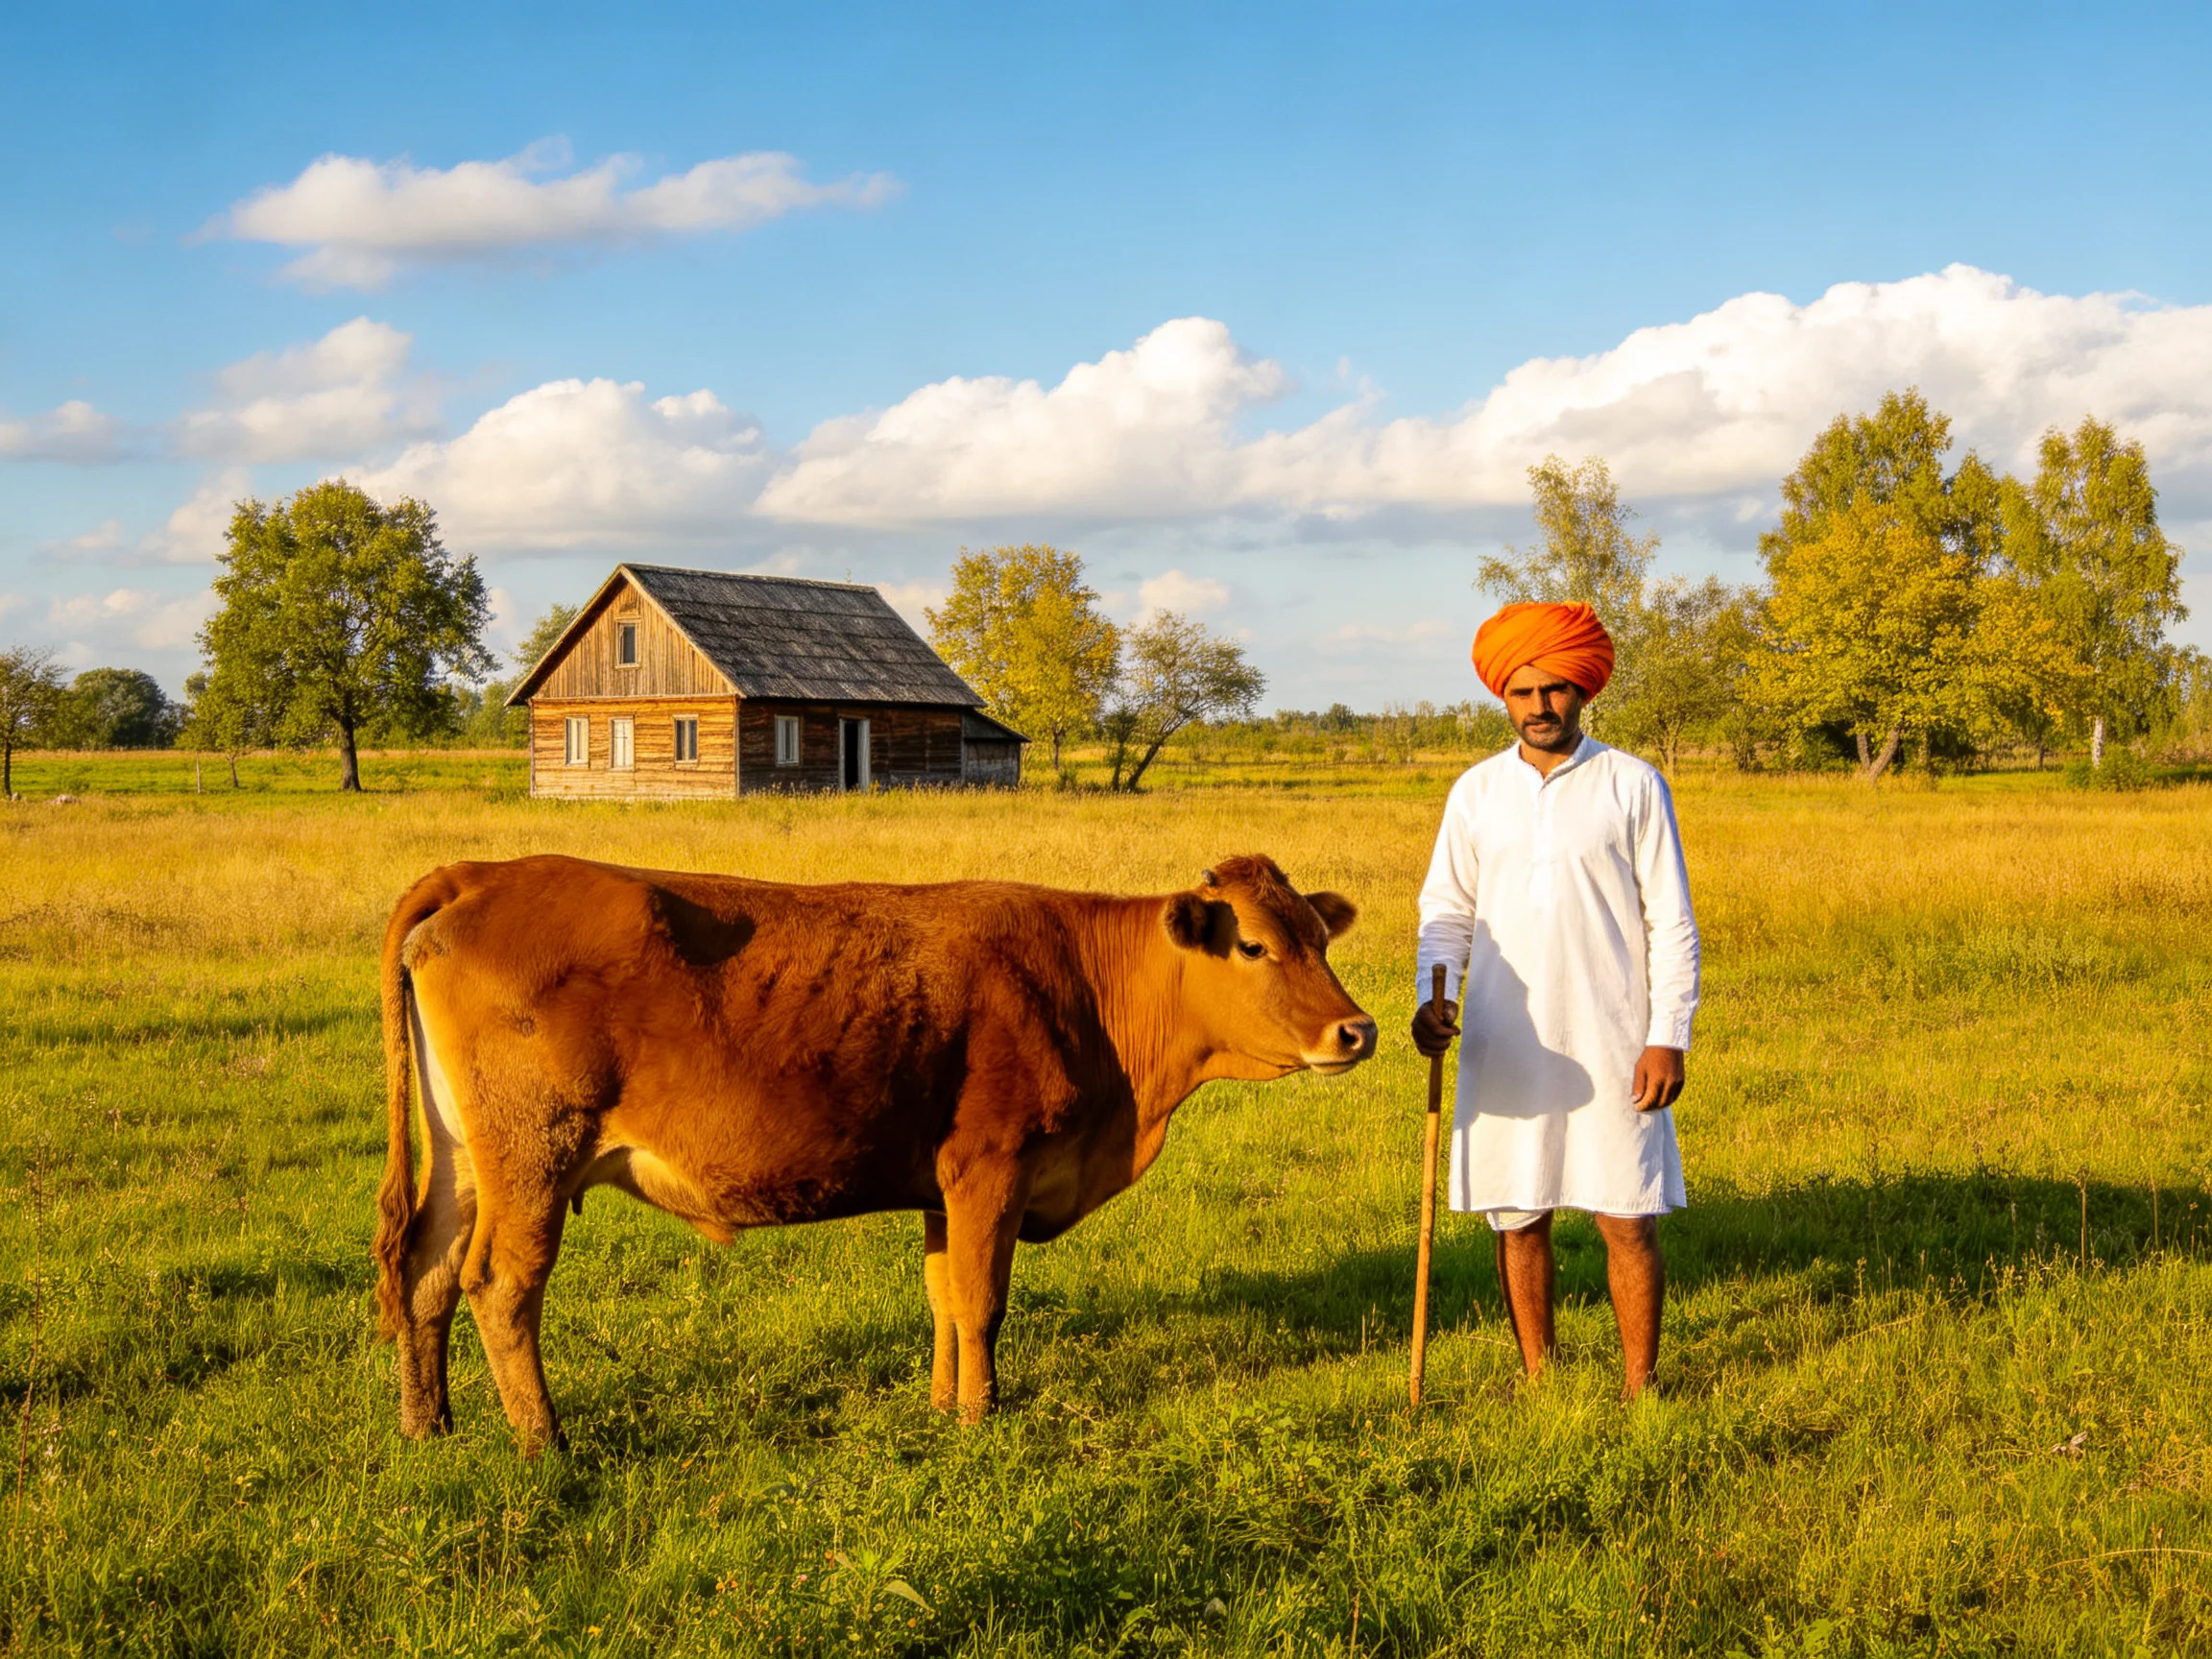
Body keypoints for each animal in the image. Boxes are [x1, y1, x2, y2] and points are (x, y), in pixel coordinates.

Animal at [373, 852, 1376, 1450]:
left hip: (465, 1159)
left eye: (1319, 937)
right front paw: (979, 1417)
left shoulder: (944, 1186)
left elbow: (943, 1299)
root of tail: (484, 872)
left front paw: (938, 1406)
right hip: (533, 1155)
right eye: (1254, 945)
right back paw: (544, 1442)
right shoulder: (991, 1166)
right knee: (500, 1283)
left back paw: (430, 1426)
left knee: (425, 1269)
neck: (1087, 986)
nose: (1357, 1030)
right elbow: (982, 1303)